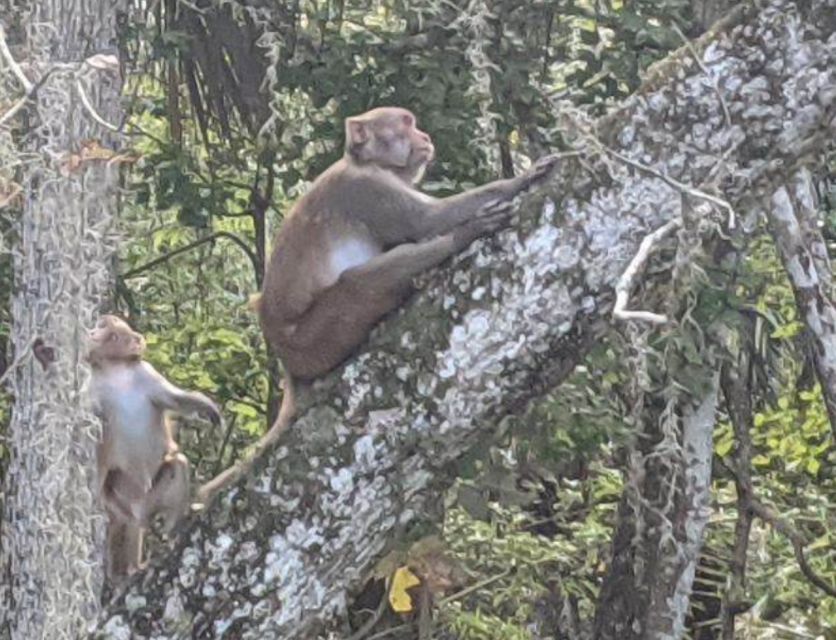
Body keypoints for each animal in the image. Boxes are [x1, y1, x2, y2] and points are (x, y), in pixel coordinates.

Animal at [89, 316, 222, 580]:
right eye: (101, 326)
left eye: (108, 328)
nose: (92, 331)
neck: (115, 372)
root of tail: (140, 509)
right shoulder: (93, 392)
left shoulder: (146, 373)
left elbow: (174, 399)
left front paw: (208, 407)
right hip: (122, 501)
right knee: (126, 521)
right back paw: (127, 571)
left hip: (151, 500)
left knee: (177, 465)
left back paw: (171, 534)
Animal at [198, 106, 560, 504]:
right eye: (406, 123)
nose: (425, 137)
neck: (367, 163)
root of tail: (286, 362)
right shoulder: (366, 190)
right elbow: (426, 221)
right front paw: (519, 179)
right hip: (314, 338)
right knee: (356, 282)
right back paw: (455, 240)